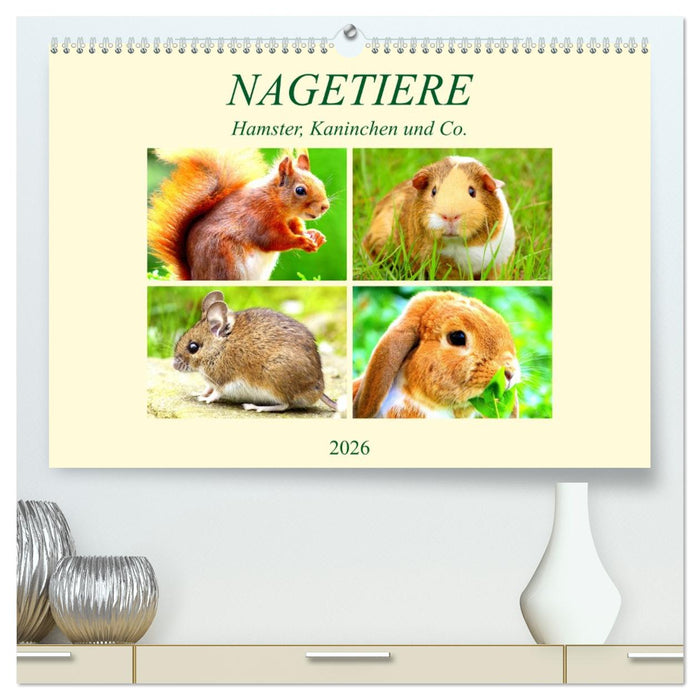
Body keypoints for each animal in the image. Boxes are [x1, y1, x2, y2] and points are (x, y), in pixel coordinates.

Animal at [173, 290, 336, 412]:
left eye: (193, 347)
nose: (174, 365)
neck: (220, 347)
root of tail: (318, 389)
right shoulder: (211, 380)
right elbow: (207, 388)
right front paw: (198, 393)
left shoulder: (224, 379)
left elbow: (216, 393)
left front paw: (206, 399)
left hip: (274, 381)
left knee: (284, 405)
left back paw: (255, 407)